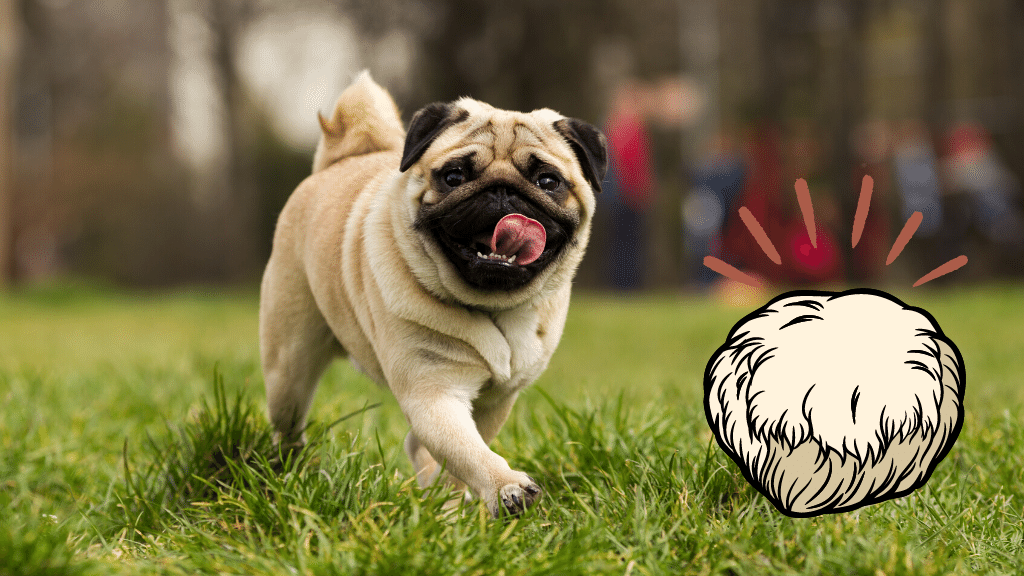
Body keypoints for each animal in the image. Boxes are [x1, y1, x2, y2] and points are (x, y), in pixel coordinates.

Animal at [260, 71, 602, 516]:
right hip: (288, 367)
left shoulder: (494, 401)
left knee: (418, 447)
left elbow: (462, 452)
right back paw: (288, 470)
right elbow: (468, 451)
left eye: (548, 181)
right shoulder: (434, 393)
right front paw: (505, 487)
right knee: (288, 421)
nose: (503, 192)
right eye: (454, 177)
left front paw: (455, 500)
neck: (492, 306)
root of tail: (340, 159)